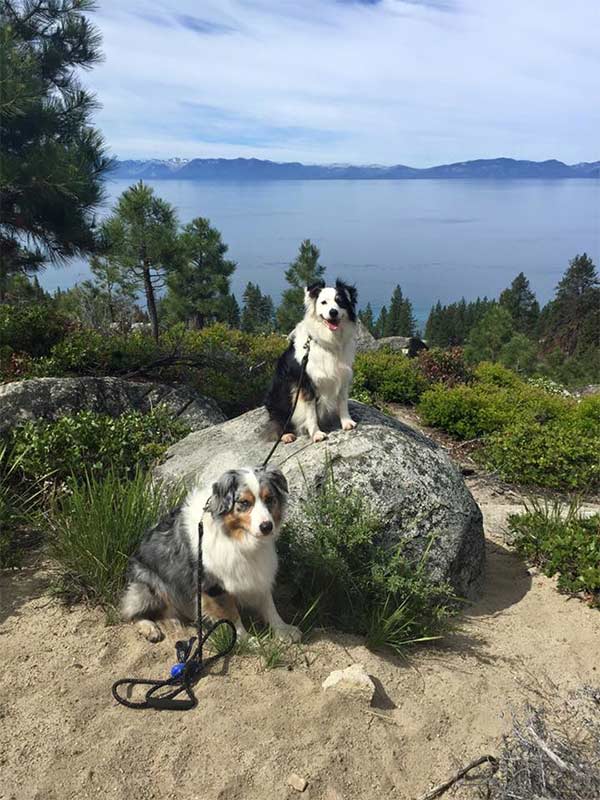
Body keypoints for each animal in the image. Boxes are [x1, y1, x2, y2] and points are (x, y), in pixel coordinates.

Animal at [121, 468, 300, 644]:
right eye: (244, 503)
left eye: (269, 499)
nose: (267, 526)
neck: (237, 537)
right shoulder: (213, 585)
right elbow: (231, 613)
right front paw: (246, 641)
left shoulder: (258, 571)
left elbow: (269, 604)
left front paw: (283, 630)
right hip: (150, 583)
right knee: (132, 613)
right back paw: (151, 628)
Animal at [266, 280, 356, 444]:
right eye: (323, 302)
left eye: (340, 301)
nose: (333, 312)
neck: (329, 342)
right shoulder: (306, 384)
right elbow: (311, 413)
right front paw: (316, 433)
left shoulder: (343, 376)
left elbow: (342, 402)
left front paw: (347, 422)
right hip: (277, 398)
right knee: (278, 420)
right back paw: (286, 435)